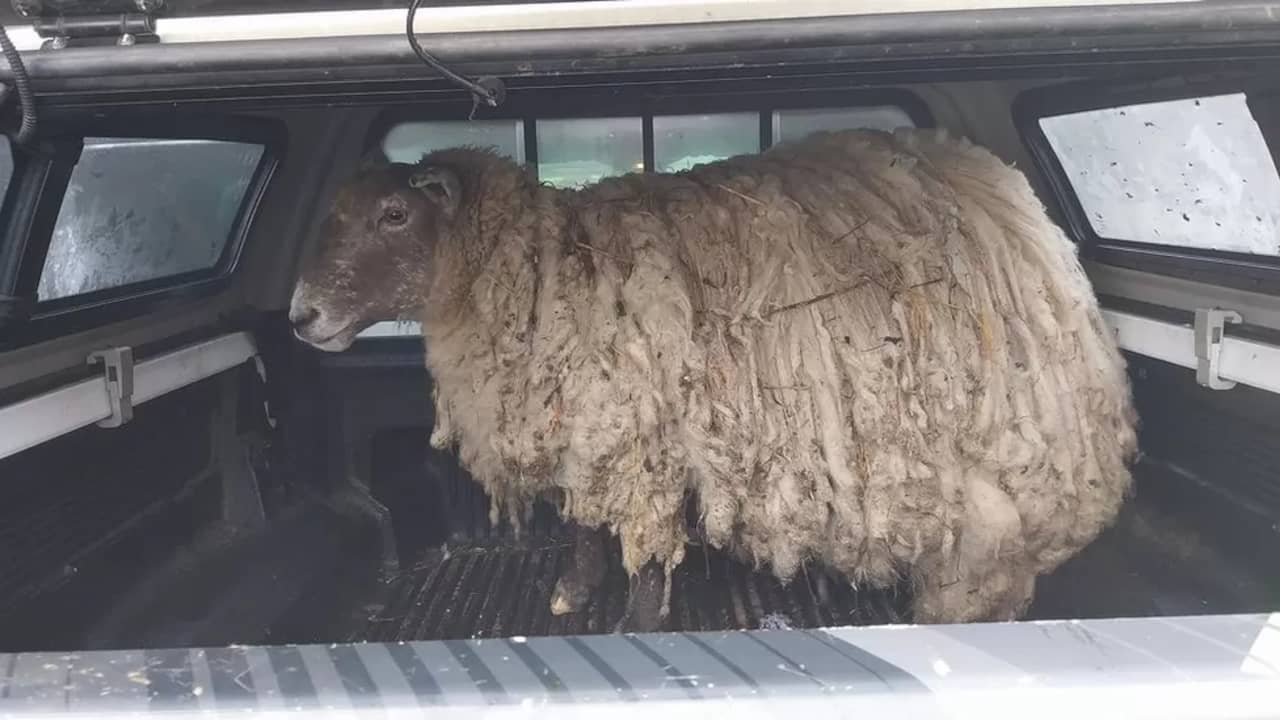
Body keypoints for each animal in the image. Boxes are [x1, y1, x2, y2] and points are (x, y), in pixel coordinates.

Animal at [293, 128, 1141, 627]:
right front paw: (572, 594)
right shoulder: (585, 426)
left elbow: (638, 548)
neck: (535, 271)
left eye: (395, 215)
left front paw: (635, 623)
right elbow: (581, 523)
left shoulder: (639, 441)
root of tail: (1019, 203)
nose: (301, 315)